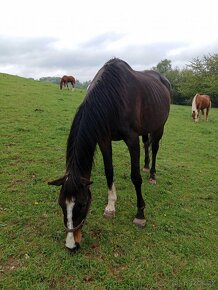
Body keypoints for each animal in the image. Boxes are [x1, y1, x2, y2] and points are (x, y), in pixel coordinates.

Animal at [48, 57, 171, 251]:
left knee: (156, 148)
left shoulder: (131, 139)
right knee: (147, 145)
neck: (113, 96)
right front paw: (111, 206)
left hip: (159, 127)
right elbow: (109, 171)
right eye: (61, 203)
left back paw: (152, 175)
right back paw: (145, 166)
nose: (71, 245)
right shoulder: (104, 138)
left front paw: (140, 214)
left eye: (82, 204)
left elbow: (135, 177)